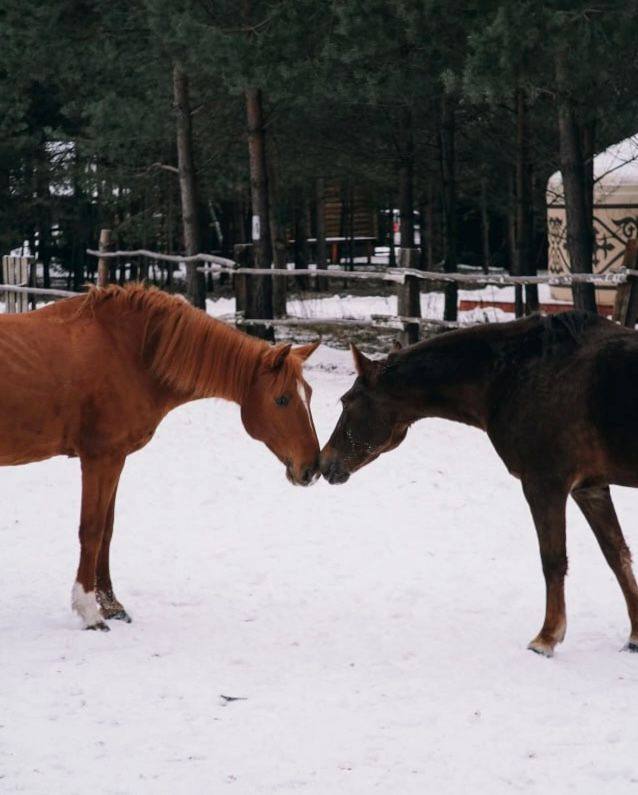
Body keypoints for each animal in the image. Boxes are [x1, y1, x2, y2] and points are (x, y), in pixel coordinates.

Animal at [0, 284, 320, 630]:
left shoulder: (116, 458)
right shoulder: (100, 458)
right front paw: (89, 612)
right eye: (282, 399)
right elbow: (92, 530)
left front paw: (111, 605)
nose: (312, 468)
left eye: (309, 394)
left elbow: (107, 530)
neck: (127, 351)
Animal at [320, 311, 638, 656]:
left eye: (346, 402)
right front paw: (635, 635)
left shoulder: (544, 485)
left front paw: (546, 637)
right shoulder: (589, 488)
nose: (323, 463)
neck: (517, 374)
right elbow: (617, 555)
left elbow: (553, 560)